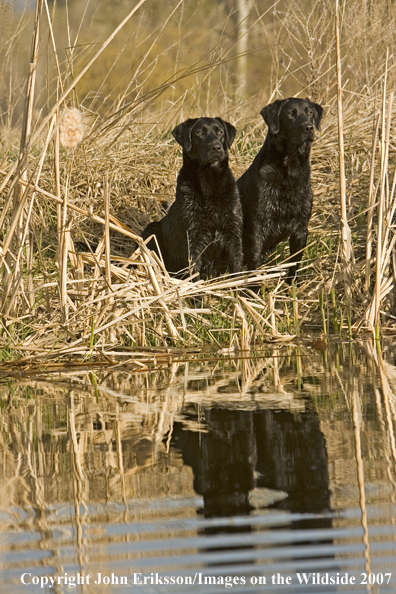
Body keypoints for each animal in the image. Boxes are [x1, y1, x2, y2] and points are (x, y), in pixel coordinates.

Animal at [141, 119, 243, 280]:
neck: (209, 184)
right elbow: (194, 271)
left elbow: (237, 265)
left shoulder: (233, 232)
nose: (216, 147)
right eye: (199, 133)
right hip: (151, 229)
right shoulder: (193, 238)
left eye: (220, 132)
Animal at [237, 97, 324, 282]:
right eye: (290, 114)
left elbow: (294, 264)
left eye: (310, 113)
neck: (289, 170)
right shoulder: (257, 229)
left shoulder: (300, 229)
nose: (309, 127)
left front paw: (292, 286)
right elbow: (253, 268)